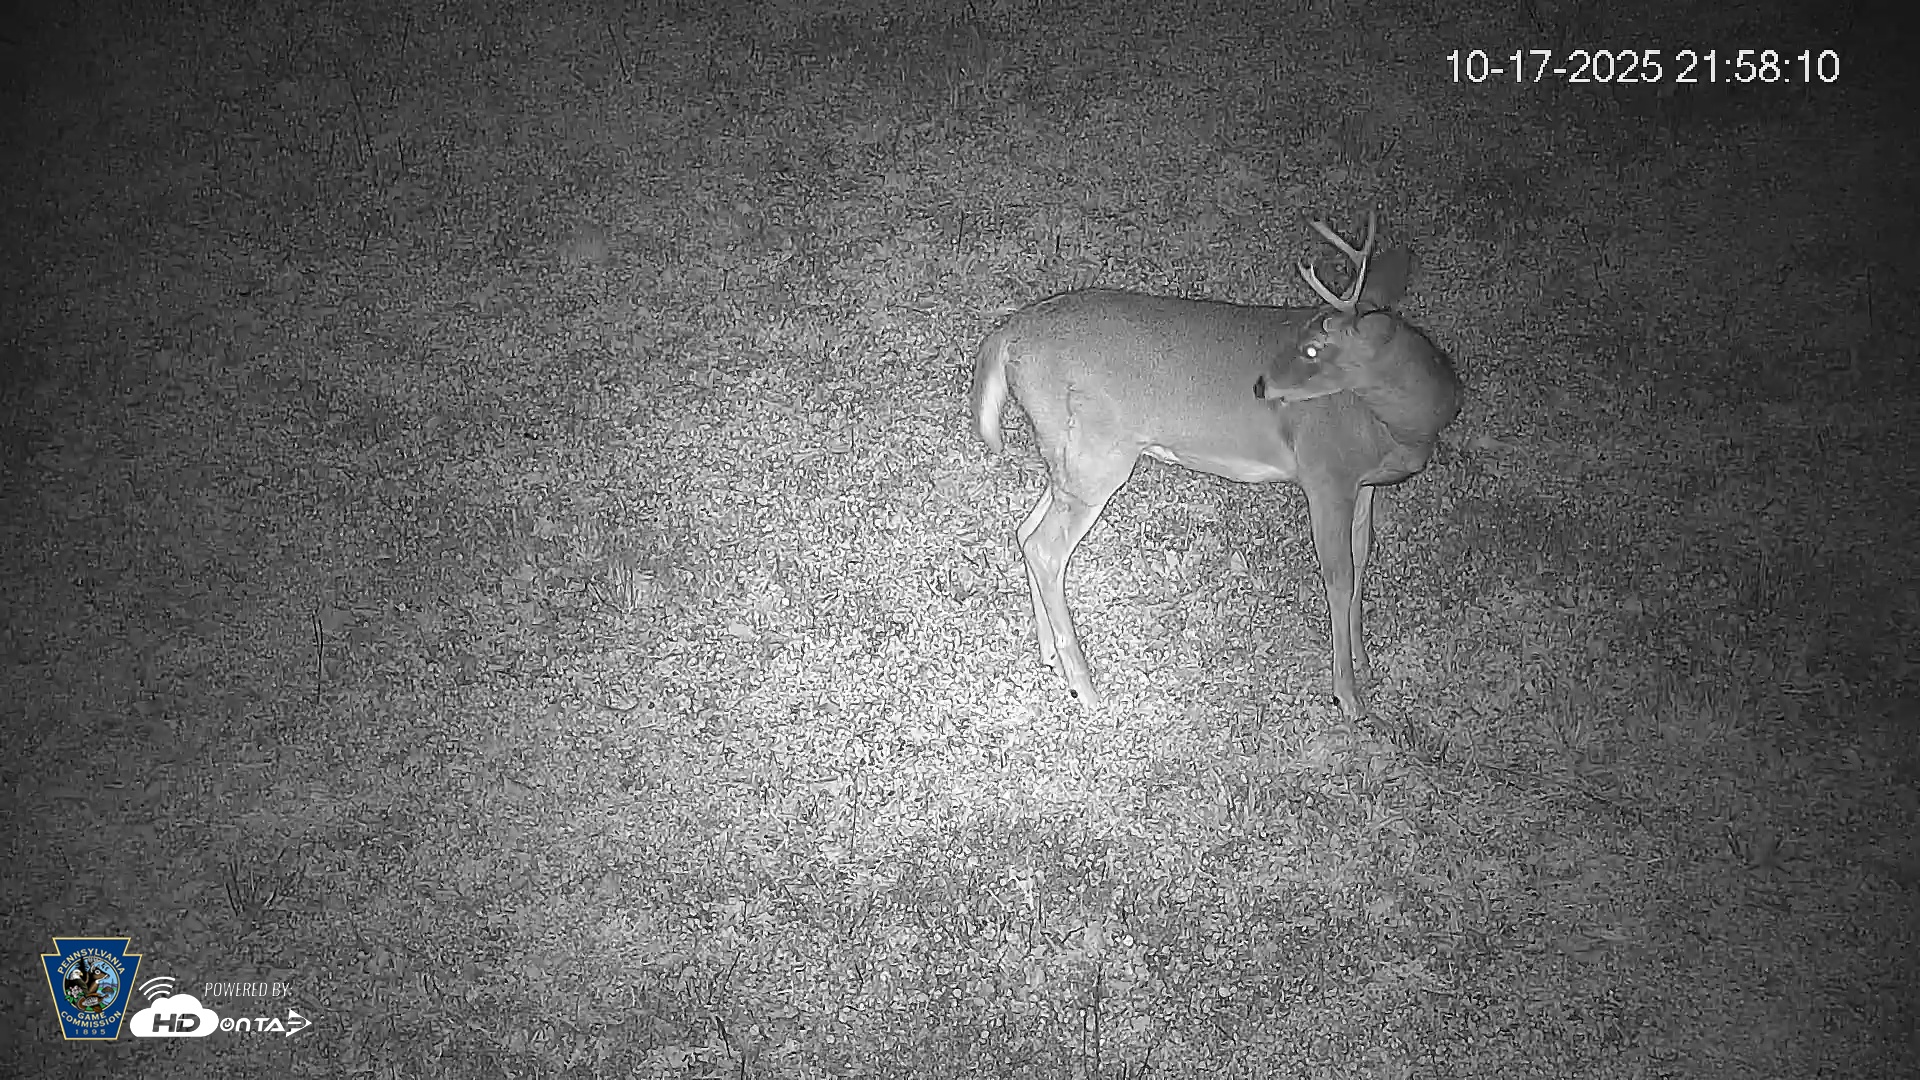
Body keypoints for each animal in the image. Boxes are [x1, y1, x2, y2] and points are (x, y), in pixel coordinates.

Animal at [970, 212, 1462, 718]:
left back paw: (1051, 652)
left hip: (1068, 451)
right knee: (1047, 548)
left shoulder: (1365, 483)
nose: (1261, 387)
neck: (1401, 427)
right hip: (1098, 451)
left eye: (1313, 346)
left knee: (1026, 531)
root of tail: (1007, 336)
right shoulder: (1326, 471)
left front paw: (1363, 658)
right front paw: (1347, 695)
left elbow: (1363, 557)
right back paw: (1085, 687)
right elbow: (1338, 576)